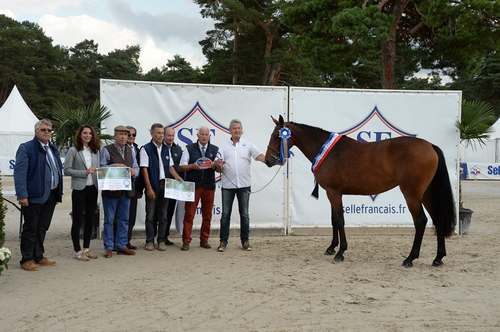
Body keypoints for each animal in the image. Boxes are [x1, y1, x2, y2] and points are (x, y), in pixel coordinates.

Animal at [266, 115, 458, 268]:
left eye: (277, 136)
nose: (269, 160)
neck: (328, 151)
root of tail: (430, 146)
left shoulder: (334, 193)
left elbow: (340, 220)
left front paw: (340, 252)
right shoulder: (332, 193)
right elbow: (334, 220)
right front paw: (331, 248)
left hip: (411, 194)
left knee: (420, 221)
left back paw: (410, 258)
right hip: (426, 194)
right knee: (437, 219)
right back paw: (438, 258)